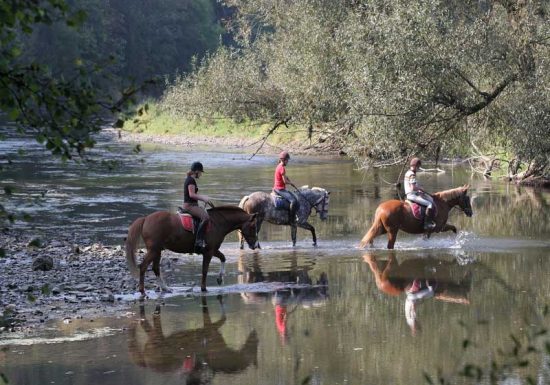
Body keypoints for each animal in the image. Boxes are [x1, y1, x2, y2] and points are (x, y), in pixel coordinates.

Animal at [126, 206, 260, 292]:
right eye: (253, 227)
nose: (255, 245)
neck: (218, 222)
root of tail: (145, 219)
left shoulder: (213, 250)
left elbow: (223, 258)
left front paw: (219, 278)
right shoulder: (209, 252)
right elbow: (205, 270)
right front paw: (204, 288)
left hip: (157, 250)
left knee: (155, 268)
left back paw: (165, 288)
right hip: (154, 250)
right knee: (143, 266)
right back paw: (142, 290)